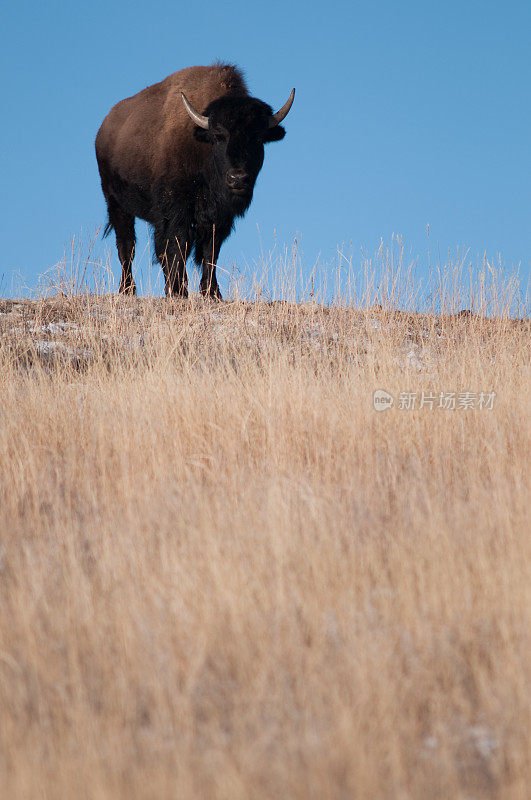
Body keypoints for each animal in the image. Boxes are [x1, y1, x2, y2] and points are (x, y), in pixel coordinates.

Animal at [95, 64, 296, 298]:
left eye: (257, 138)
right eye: (218, 136)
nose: (238, 178)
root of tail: (103, 129)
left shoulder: (219, 217)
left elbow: (210, 250)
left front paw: (212, 292)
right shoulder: (176, 210)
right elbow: (178, 245)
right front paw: (178, 290)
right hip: (116, 203)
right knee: (127, 245)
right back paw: (128, 289)